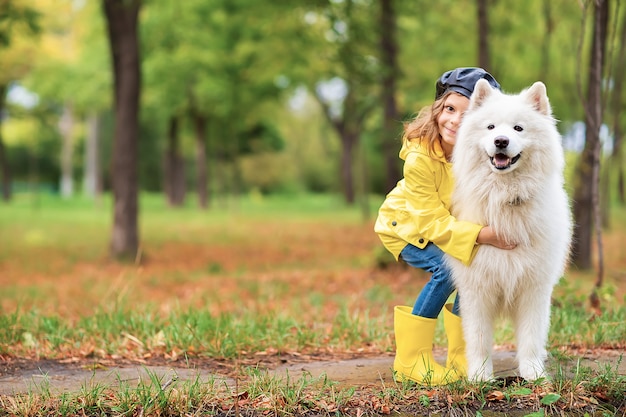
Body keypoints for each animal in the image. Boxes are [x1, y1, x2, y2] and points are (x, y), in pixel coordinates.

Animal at [444, 79, 572, 380]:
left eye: (518, 128)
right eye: (491, 127)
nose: (501, 141)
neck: (505, 198)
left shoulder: (534, 287)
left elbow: (531, 336)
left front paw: (533, 373)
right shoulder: (477, 288)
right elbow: (478, 338)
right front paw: (480, 376)